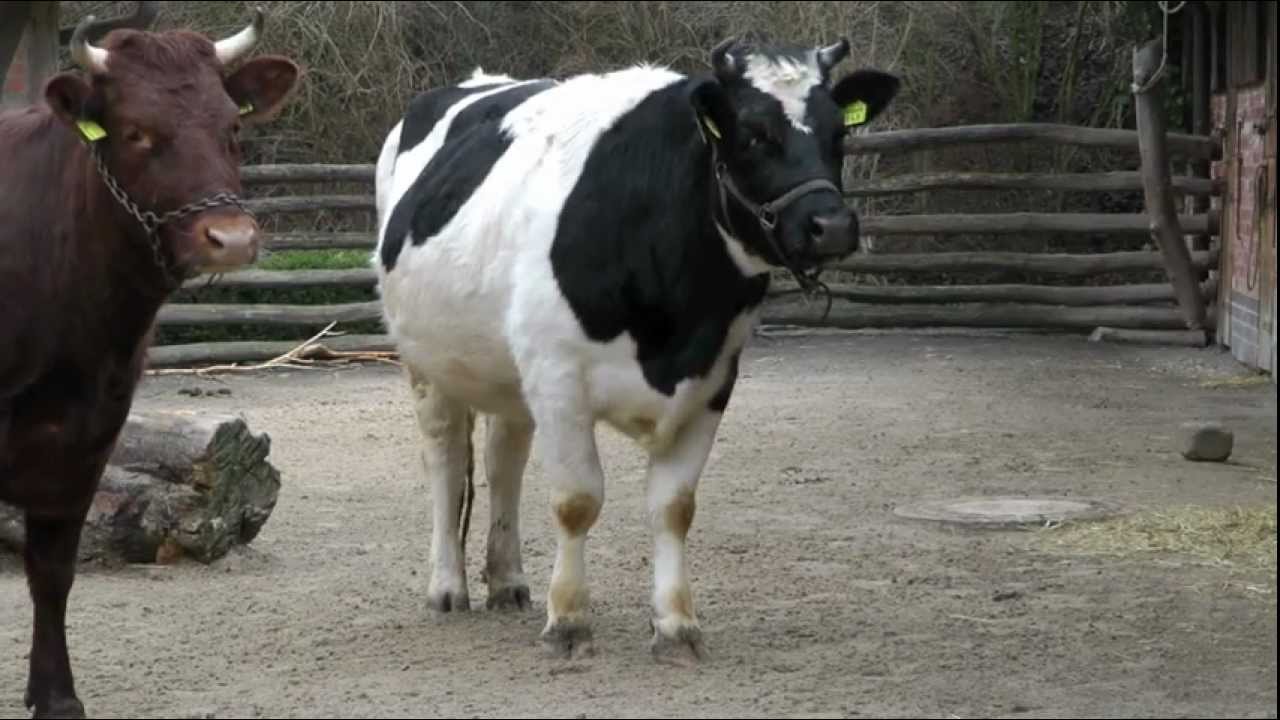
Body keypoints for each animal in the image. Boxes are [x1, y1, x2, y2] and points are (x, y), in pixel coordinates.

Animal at [0, 10, 299, 718]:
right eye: (136, 130)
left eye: (233, 126)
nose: (230, 239)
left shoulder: (89, 437)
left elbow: (53, 571)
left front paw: (56, 695)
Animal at [373, 36, 899, 665]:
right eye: (752, 134)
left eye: (838, 134)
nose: (832, 225)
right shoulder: (558, 378)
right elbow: (576, 500)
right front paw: (569, 621)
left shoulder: (712, 381)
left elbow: (673, 507)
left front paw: (676, 625)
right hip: (424, 363)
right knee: (446, 462)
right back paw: (448, 586)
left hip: (507, 374)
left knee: (504, 463)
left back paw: (508, 581)